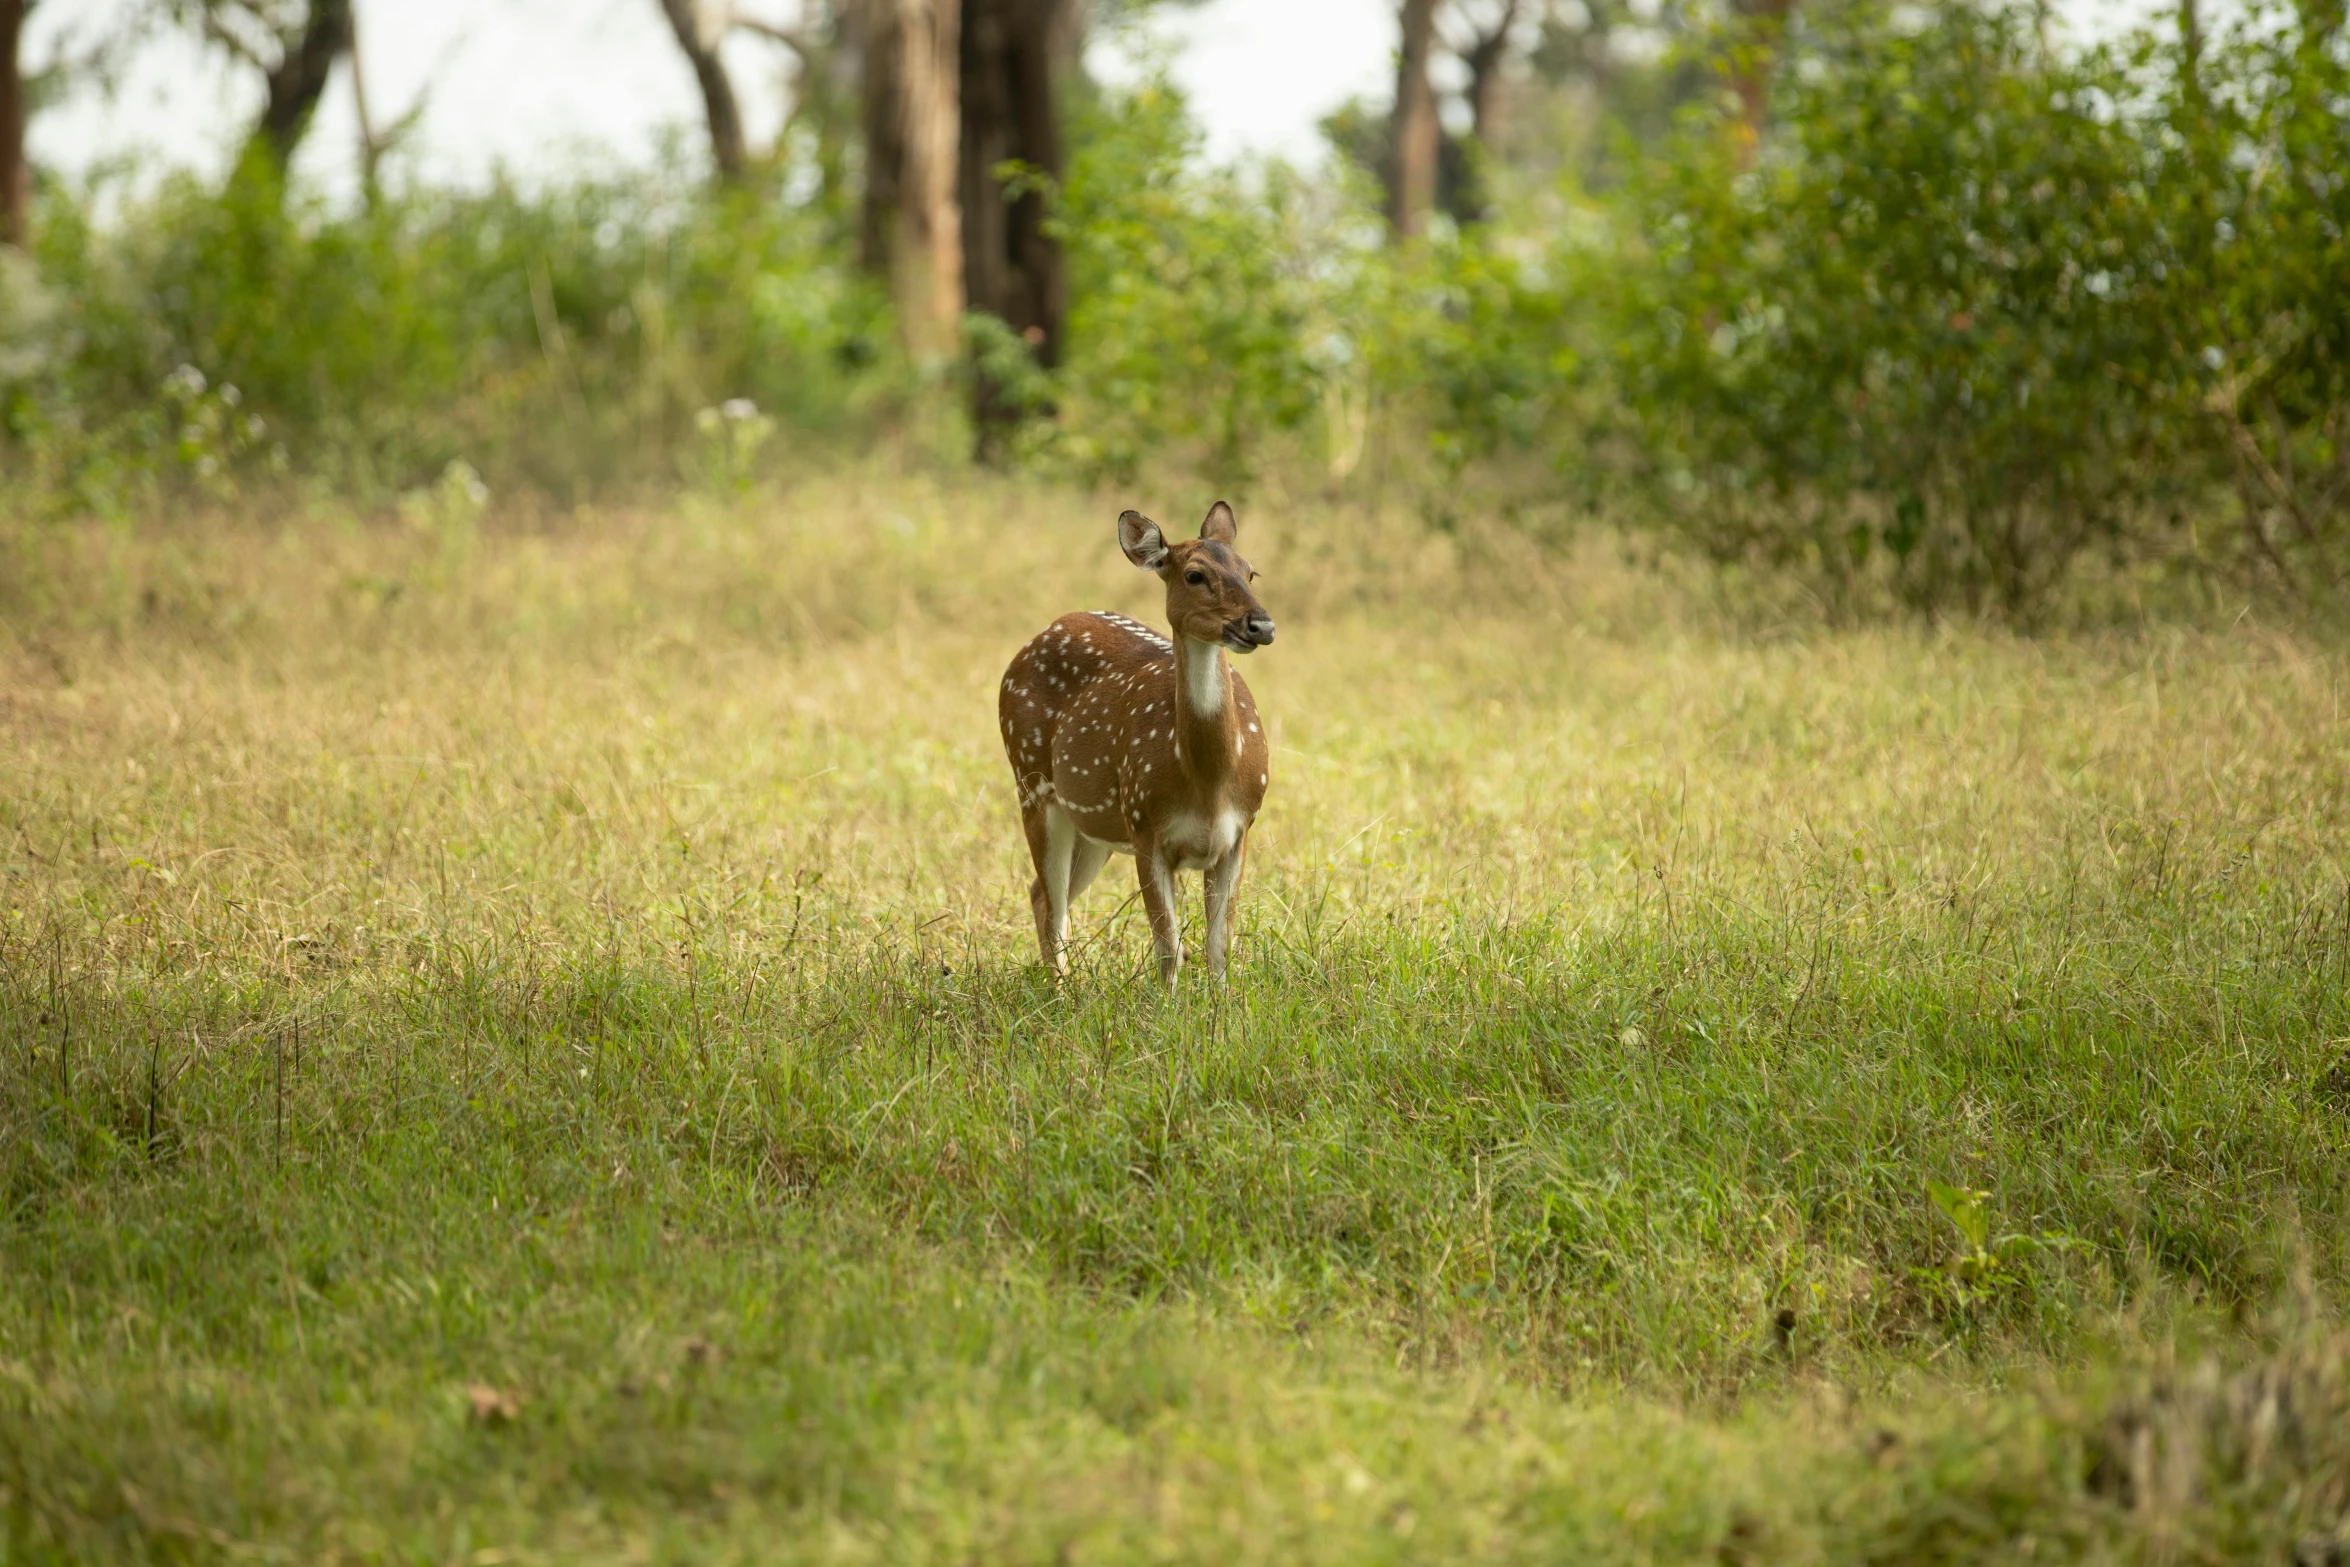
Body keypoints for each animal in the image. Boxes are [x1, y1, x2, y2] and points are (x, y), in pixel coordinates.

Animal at [996, 505, 1278, 991]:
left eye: (1250, 571)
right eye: (1194, 575)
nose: (1260, 625)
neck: (1207, 781)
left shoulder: (1240, 831)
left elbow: (1218, 947)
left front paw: (1225, 1007)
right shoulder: (1146, 827)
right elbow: (1168, 946)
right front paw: (1168, 1007)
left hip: (1096, 827)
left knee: (1042, 894)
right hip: (1031, 783)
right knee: (1050, 900)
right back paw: (1060, 992)